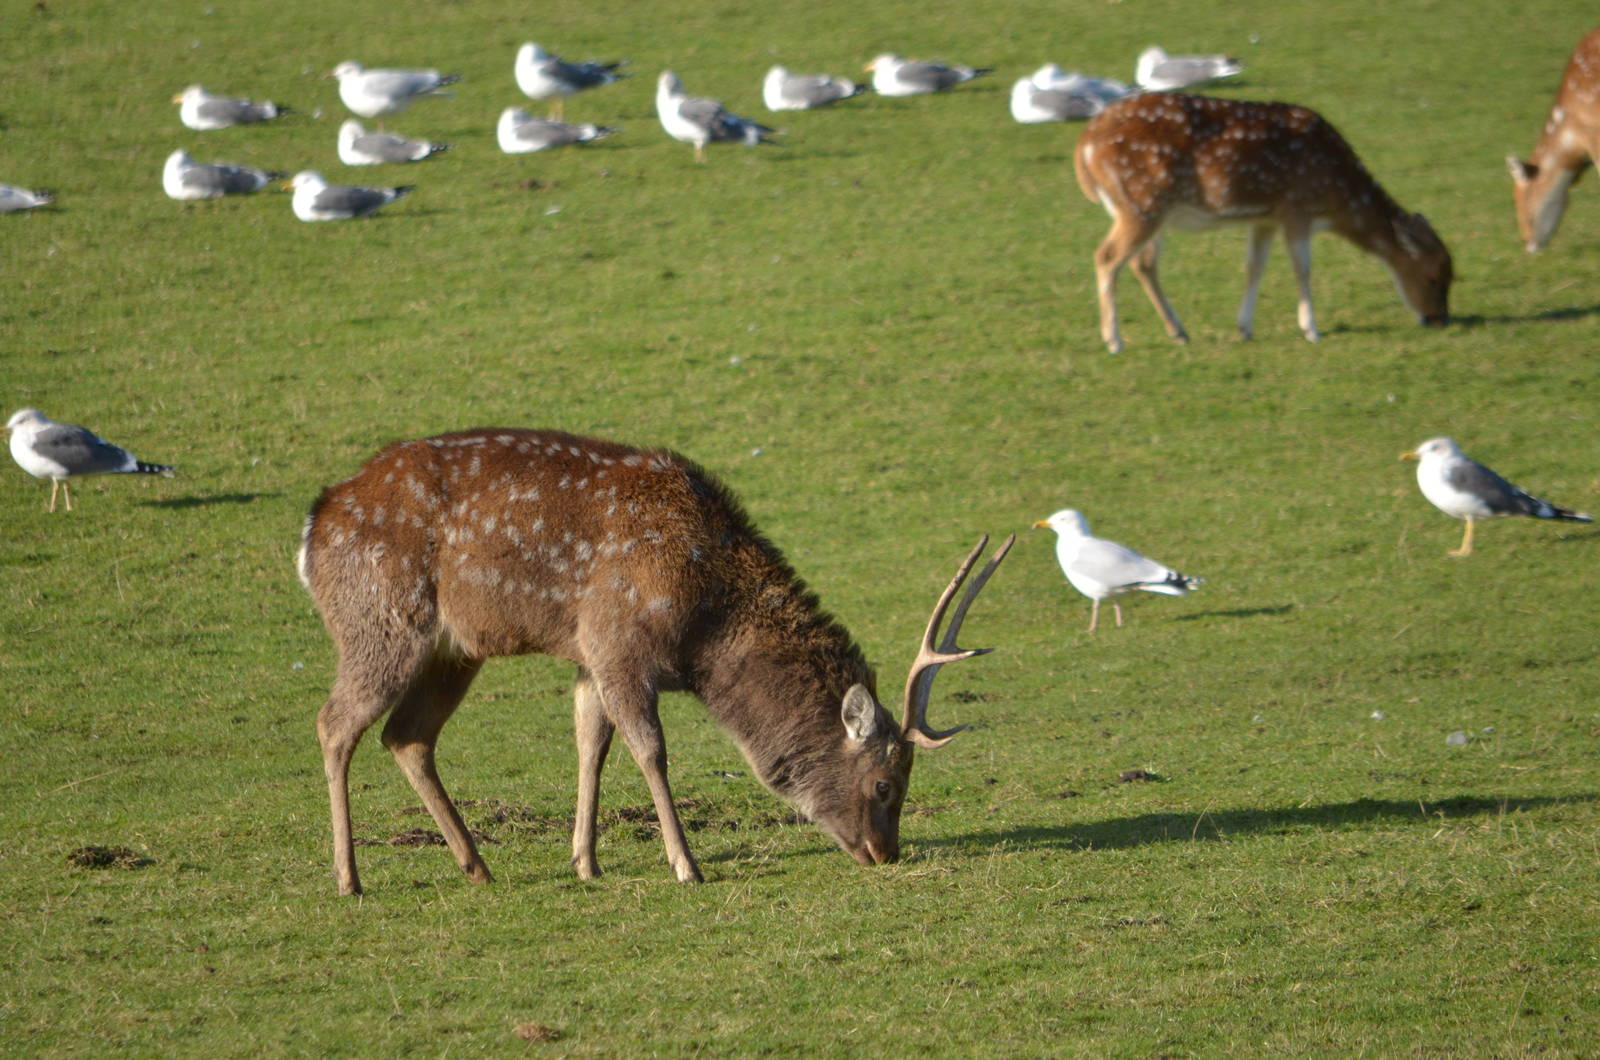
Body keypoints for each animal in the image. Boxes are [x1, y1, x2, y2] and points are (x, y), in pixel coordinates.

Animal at [296, 427, 1013, 895]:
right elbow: (650, 750)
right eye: (886, 784)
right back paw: (348, 878)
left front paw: (586, 862)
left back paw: (476, 865)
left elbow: (591, 745)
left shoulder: (590, 654)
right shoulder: (620, 640)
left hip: (454, 649)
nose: (884, 852)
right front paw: (686, 865)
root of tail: (312, 527)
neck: (704, 624)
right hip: (381, 624)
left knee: (407, 735)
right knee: (334, 724)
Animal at [1073, 92, 1453, 353]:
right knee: (1107, 257)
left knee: (1142, 262)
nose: (1440, 320)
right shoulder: (1296, 207)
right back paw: (1115, 341)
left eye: (1452, 276)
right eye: (1433, 277)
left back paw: (1178, 332)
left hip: (1148, 210)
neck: (1337, 195)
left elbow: (1254, 266)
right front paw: (1311, 329)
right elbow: (1302, 268)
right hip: (1142, 202)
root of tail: (1084, 147)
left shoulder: (1265, 217)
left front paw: (1245, 327)